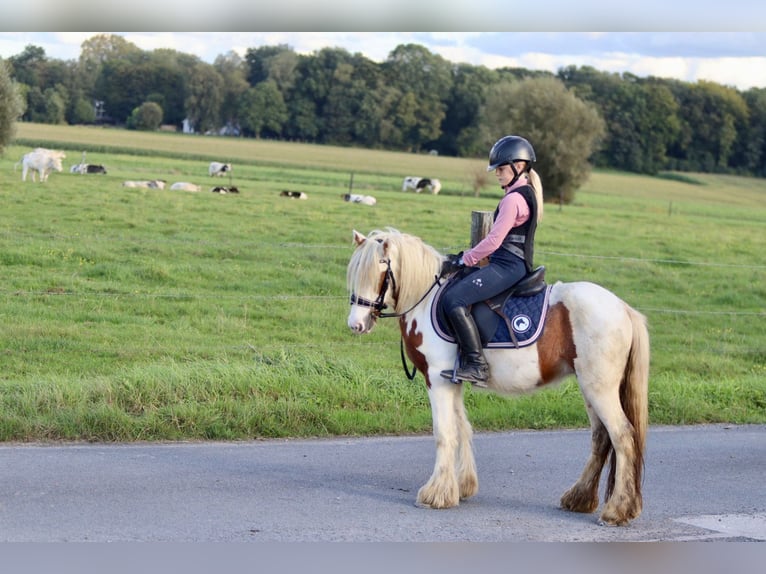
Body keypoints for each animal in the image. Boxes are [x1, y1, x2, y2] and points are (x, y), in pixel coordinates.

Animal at [350, 228, 656, 528]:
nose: (356, 325)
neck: (427, 299)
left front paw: (436, 494)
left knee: (622, 437)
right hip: (590, 388)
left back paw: (616, 511)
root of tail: (623, 308)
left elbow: (444, 433)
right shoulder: (453, 379)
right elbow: (462, 428)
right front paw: (462, 486)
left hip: (599, 388)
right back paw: (579, 499)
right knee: (601, 438)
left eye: (379, 270)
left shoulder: (437, 379)